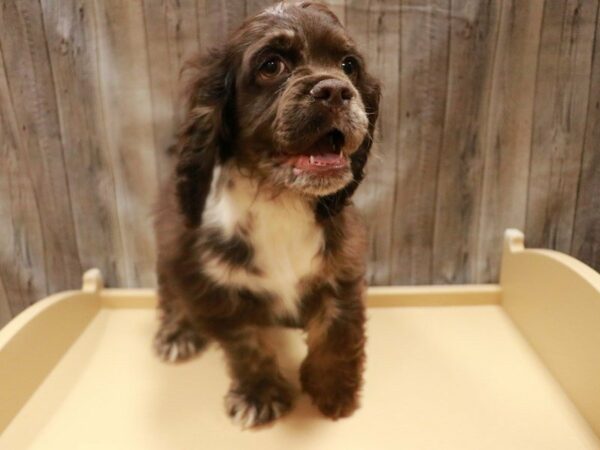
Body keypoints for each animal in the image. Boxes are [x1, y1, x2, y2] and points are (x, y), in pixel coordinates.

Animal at [154, 0, 380, 428]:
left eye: (349, 65)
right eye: (271, 65)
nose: (336, 91)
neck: (280, 199)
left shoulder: (343, 263)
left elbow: (338, 327)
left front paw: (333, 390)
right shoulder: (210, 281)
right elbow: (247, 343)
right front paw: (260, 396)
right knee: (169, 291)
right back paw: (177, 333)